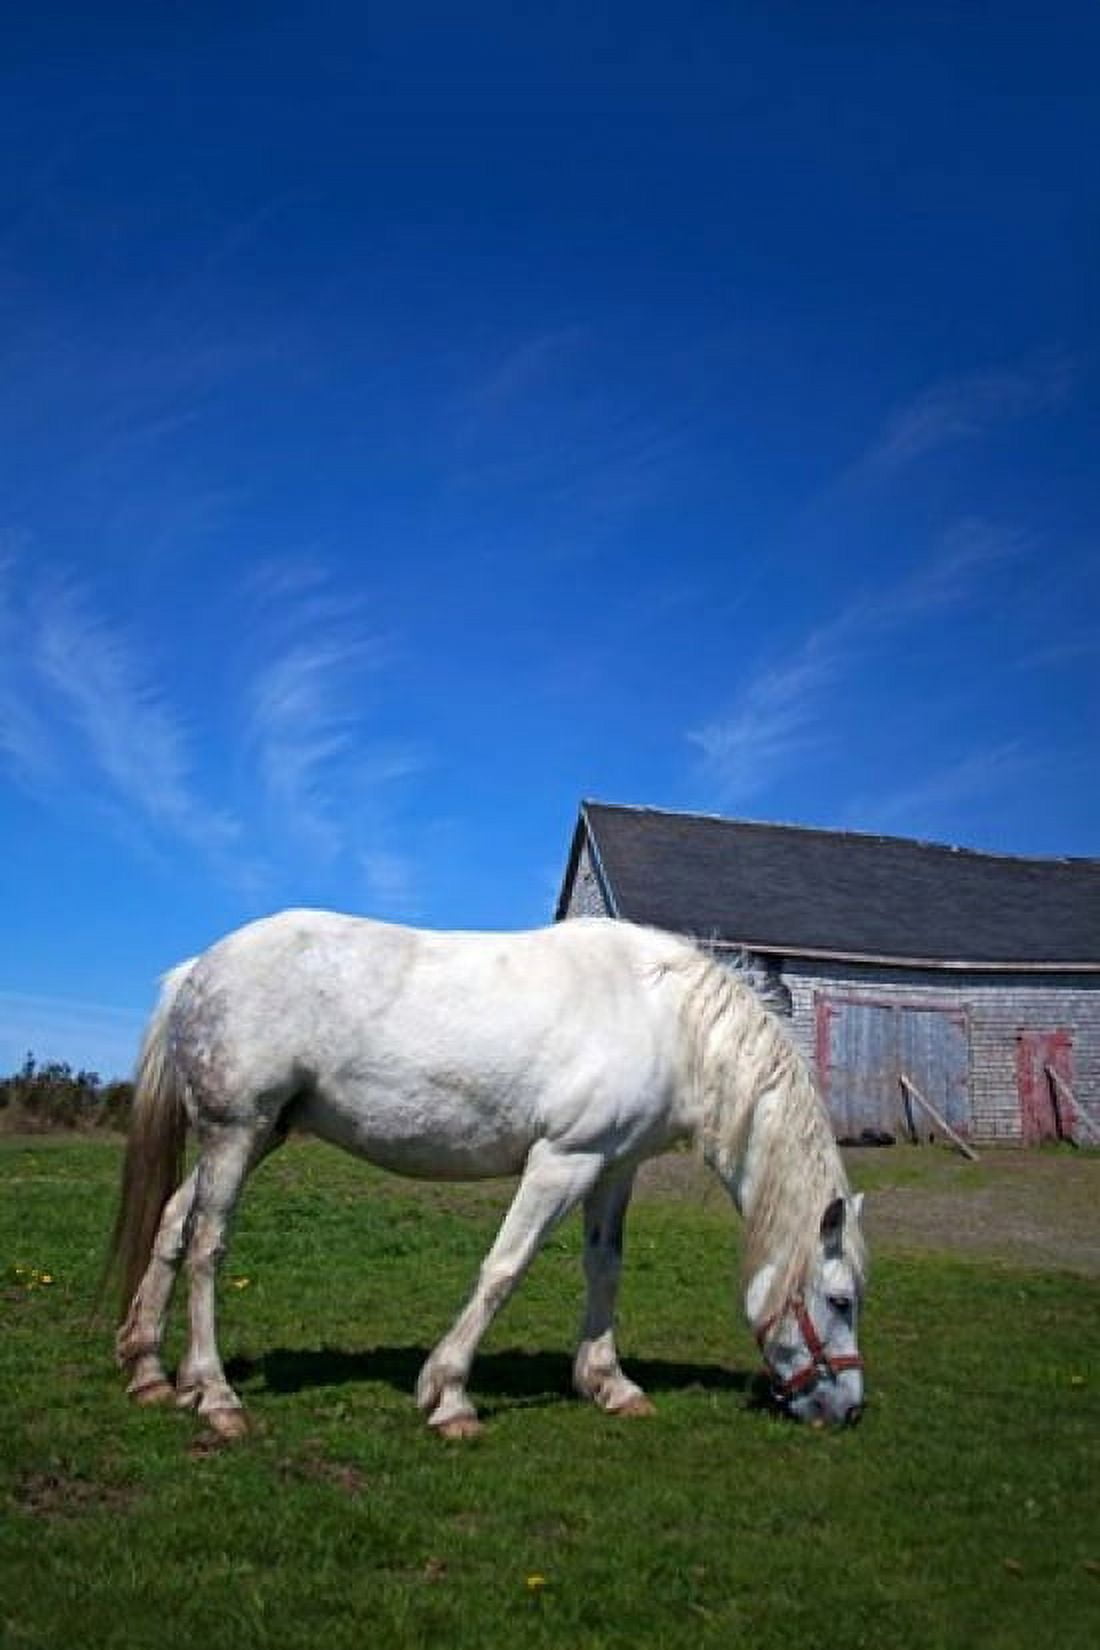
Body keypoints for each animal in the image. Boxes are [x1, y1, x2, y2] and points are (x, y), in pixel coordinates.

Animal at [107, 911, 867, 1439]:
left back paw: (149, 1371)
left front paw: (608, 1384)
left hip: (255, 1135)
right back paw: (216, 1396)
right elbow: (505, 1268)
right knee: (208, 1245)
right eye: (840, 1301)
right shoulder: (563, 1160)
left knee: (173, 1225)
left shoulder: (613, 1168)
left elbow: (606, 1268)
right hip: (237, 1131)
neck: (665, 1020)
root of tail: (197, 969)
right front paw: (448, 1397)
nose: (850, 1410)